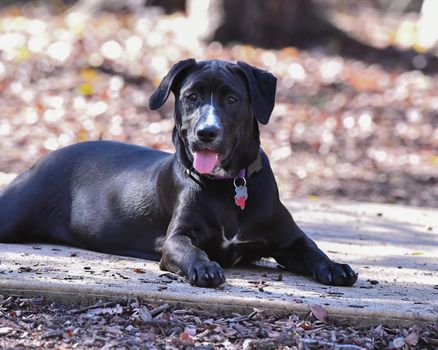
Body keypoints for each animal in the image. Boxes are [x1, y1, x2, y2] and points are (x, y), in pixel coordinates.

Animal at [0, 59, 358, 288]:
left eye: (232, 98)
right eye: (191, 96)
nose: (206, 133)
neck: (230, 185)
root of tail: (43, 159)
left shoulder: (288, 238)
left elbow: (312, 249)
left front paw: (335, 266)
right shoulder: (176, 238)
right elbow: (190, 249)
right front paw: (204, 267)